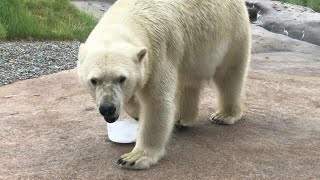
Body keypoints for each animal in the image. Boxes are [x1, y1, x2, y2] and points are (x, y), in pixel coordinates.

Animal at [77, 0, 250, 170]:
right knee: (188, 81)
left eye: (122, 78)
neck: (130, 16)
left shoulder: (159, 51)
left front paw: (133, 158)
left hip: (232, 32)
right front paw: (137, 113)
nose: (108, 108)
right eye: (94, 80)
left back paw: (224, 115)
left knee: (229, 76)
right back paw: (181, 118)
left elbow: (157, 102)